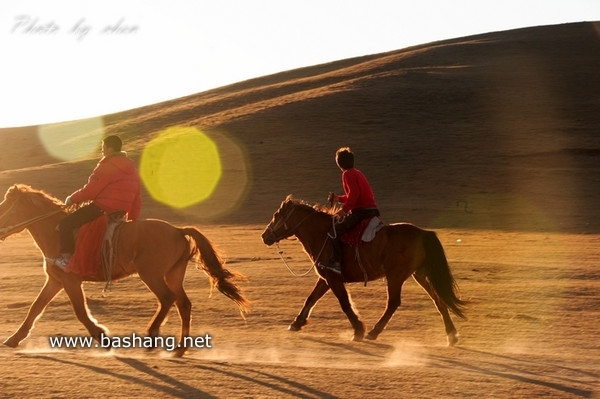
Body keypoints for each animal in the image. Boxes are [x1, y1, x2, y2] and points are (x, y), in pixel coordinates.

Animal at [0, 184, 248, 356]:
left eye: (4, 206)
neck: (56, 232)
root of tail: (177, 230)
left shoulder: (70, 281)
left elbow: (80, 312)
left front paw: (104, 339)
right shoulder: (55, 280)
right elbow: (35, 307)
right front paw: (14, 339)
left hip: (152, 275)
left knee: (167, 298)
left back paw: (152, 338)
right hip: (173, 275)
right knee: (183, 304)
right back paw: (179, 349)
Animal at [262, 197, 464, 346]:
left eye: (276, 215)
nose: (265, 236)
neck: (322, 235)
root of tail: (423, 233)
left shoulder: (333, 278)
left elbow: (344, 304)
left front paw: (358, 330)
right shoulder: (326, 277)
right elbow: (311, 298)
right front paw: (296, 323)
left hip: (396, 276)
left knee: (393, 303)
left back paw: (374, 332)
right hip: (418, 274)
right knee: (437, 298)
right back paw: (451, 335)